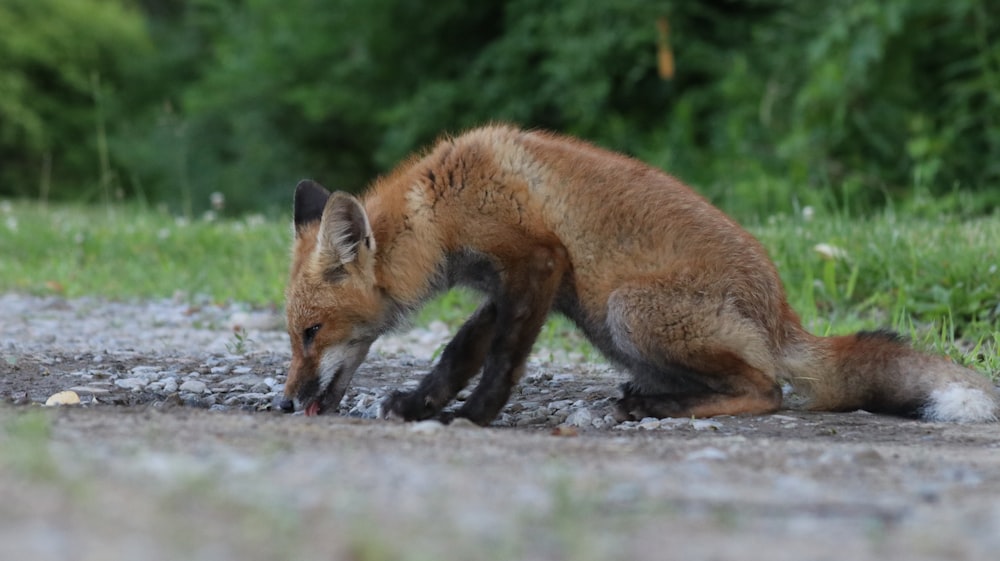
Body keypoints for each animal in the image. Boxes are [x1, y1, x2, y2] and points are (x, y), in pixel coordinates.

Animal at [280, 124, 1000, 424]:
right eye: (293, 335)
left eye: (311, 333)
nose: (285, 402)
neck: (439, 208)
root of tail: (783, 316)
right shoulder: (510, 287)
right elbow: (460, 351)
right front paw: (421, 404)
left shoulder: (538, 260)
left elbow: (502, 360)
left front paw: (476, 415)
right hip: (609, 322)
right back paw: (648, 396)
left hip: (625, 308)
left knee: (769, 389)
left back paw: (654, 406)